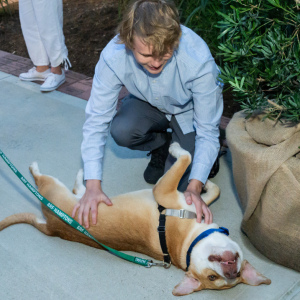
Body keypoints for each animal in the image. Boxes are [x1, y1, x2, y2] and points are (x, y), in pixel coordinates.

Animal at [0, 143, 270, 296]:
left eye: (213, 279)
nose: (231, 270)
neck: (188, 244)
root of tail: (51, 227)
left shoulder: (165, 191)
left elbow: (186, 159)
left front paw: (176, 150)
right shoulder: (176, 195)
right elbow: (207, 184)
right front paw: (204, 183)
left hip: (52, 191)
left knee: (45, 181)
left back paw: (61, 173)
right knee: (74, 188)